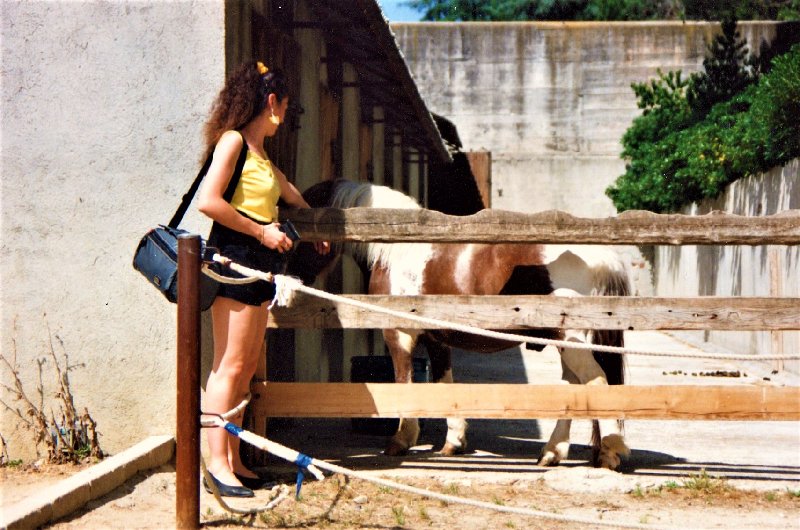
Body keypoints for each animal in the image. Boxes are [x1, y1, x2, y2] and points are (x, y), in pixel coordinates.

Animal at [290, 179, 636, 468]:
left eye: (301, 237)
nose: (291, 274)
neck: (396, 250)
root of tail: (604, 259)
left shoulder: (398, 334)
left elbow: (405, 383)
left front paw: (400, 441)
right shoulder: (437, 340)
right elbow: (444, 385)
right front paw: (453, 443)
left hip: (572, 342)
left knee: (597, 383)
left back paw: (609, 452)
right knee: (575, 389)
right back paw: (552, 452)